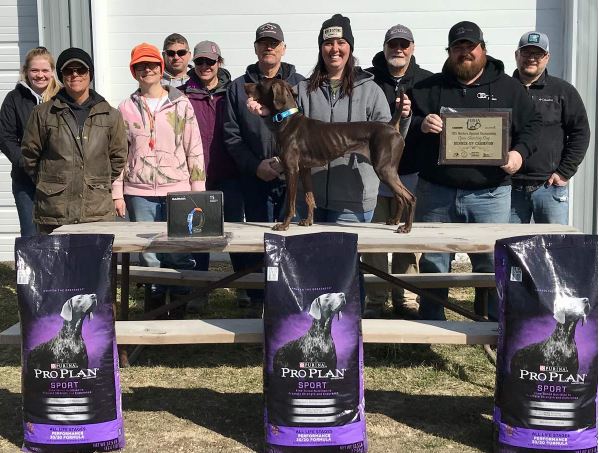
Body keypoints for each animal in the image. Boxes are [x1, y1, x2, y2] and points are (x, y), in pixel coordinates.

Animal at [246, 77, 414, 231]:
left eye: (260, 83)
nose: (245, 85)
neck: (288, 119)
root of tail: (391, 125)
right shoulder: (304, 169)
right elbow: (309, 198)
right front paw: (308, 221)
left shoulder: (292, 169)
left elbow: (290, 203)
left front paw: (284, 225)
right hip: (388, 170)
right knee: (400, 197)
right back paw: (394, 221)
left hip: (384, 169)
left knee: (410, 197)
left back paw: (406, 227)